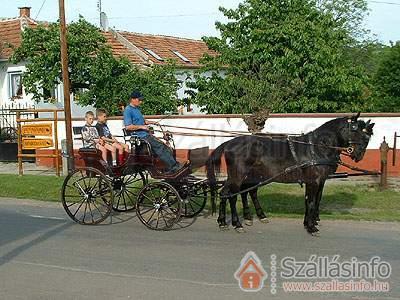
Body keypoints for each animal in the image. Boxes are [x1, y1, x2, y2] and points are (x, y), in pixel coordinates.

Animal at [208, 115, 374, 234]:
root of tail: (229, 143)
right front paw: (311, 227)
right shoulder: (313, 181)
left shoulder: (319, 181)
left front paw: (309, 222)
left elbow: (313, 200)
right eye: (355, 130)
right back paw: (237, 224)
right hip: (238, 176)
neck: (317, 147)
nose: (359, 155)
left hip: (248, 176)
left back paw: (225, 221)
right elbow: (311, 202)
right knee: (231, 195)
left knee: (233, 193)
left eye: (368, 136)